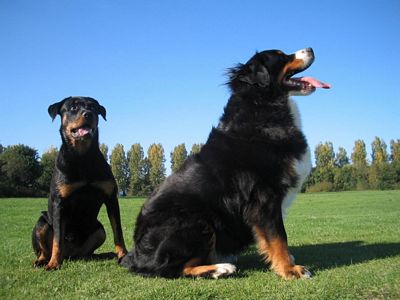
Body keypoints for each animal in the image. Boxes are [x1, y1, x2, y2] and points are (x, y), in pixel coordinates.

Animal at [32, 97, 126, 270]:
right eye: (73, 107)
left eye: (93, 108)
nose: (88, 114)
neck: (83, 157)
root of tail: (70, 255)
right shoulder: (59, 203)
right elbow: (57, 239)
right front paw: (53, 263)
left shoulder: (111, 198)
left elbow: (118, 232)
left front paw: (123, 256)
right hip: (41, 222)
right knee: (44, 248)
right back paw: (43, 260)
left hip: (99, 230)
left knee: (86, 252)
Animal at [122, 47, 332, 278]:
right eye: (281, 56)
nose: (310, 49)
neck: (263, 105)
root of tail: (135, 255)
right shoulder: (264, 197)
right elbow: (278, 237)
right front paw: (289, 269)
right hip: (196, 221)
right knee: (173, 268)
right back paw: (221, 268)